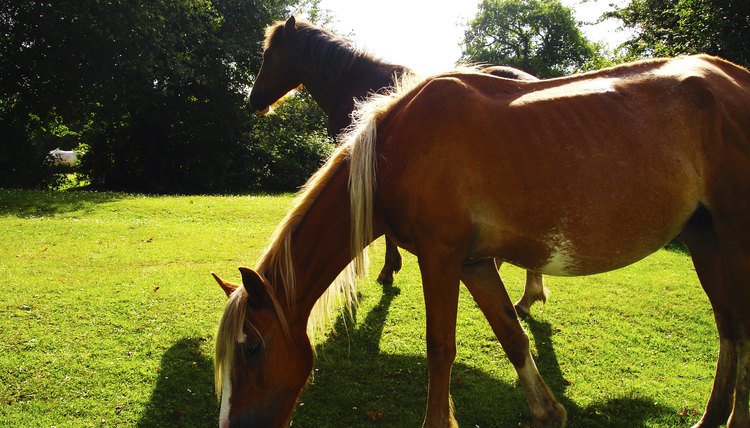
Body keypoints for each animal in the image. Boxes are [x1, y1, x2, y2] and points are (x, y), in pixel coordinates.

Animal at [213, 54, 750, 428]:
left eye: (252, 348)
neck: (395, 152)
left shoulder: (441, 258)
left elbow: (440, 347)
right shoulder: (473, 263)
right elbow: (511, 334)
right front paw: (548, 412)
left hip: (734, 237)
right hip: (705, 238)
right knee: (730, 329)